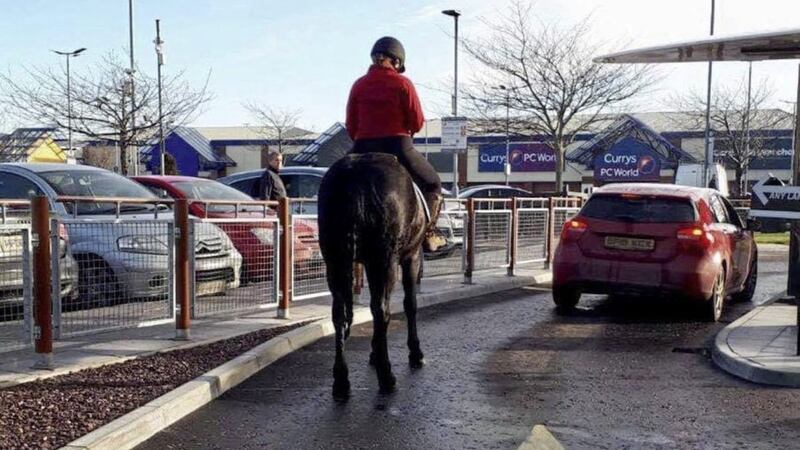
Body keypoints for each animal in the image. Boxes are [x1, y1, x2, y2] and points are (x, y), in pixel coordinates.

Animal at [320, 153, 432, 400]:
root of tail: (354, 175)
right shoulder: (411, 257)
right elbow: (410, 303)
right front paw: (415, 352)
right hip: (385, 260)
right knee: (382, 310)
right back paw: (386, 376)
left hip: (335, 261)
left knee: (339, 314)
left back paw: (341, 381)